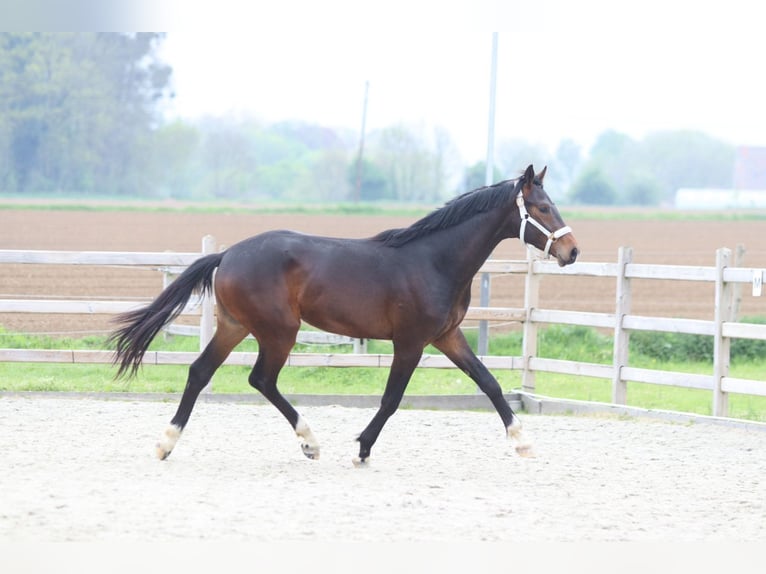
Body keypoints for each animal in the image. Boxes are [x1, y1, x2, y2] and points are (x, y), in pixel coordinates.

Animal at [109, 164, 579, 466]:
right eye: (542, 208)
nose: (572, 251)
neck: (433, 261)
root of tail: (227, 255)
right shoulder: (411, 342)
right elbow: (391, 399)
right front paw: (363, 449)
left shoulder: (447, 336)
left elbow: (490, 384)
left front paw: (522, 443)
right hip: (279, 331)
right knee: (261, 379)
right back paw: (310, 443)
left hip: (236, 326)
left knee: (200, 372)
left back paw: (166, 444)